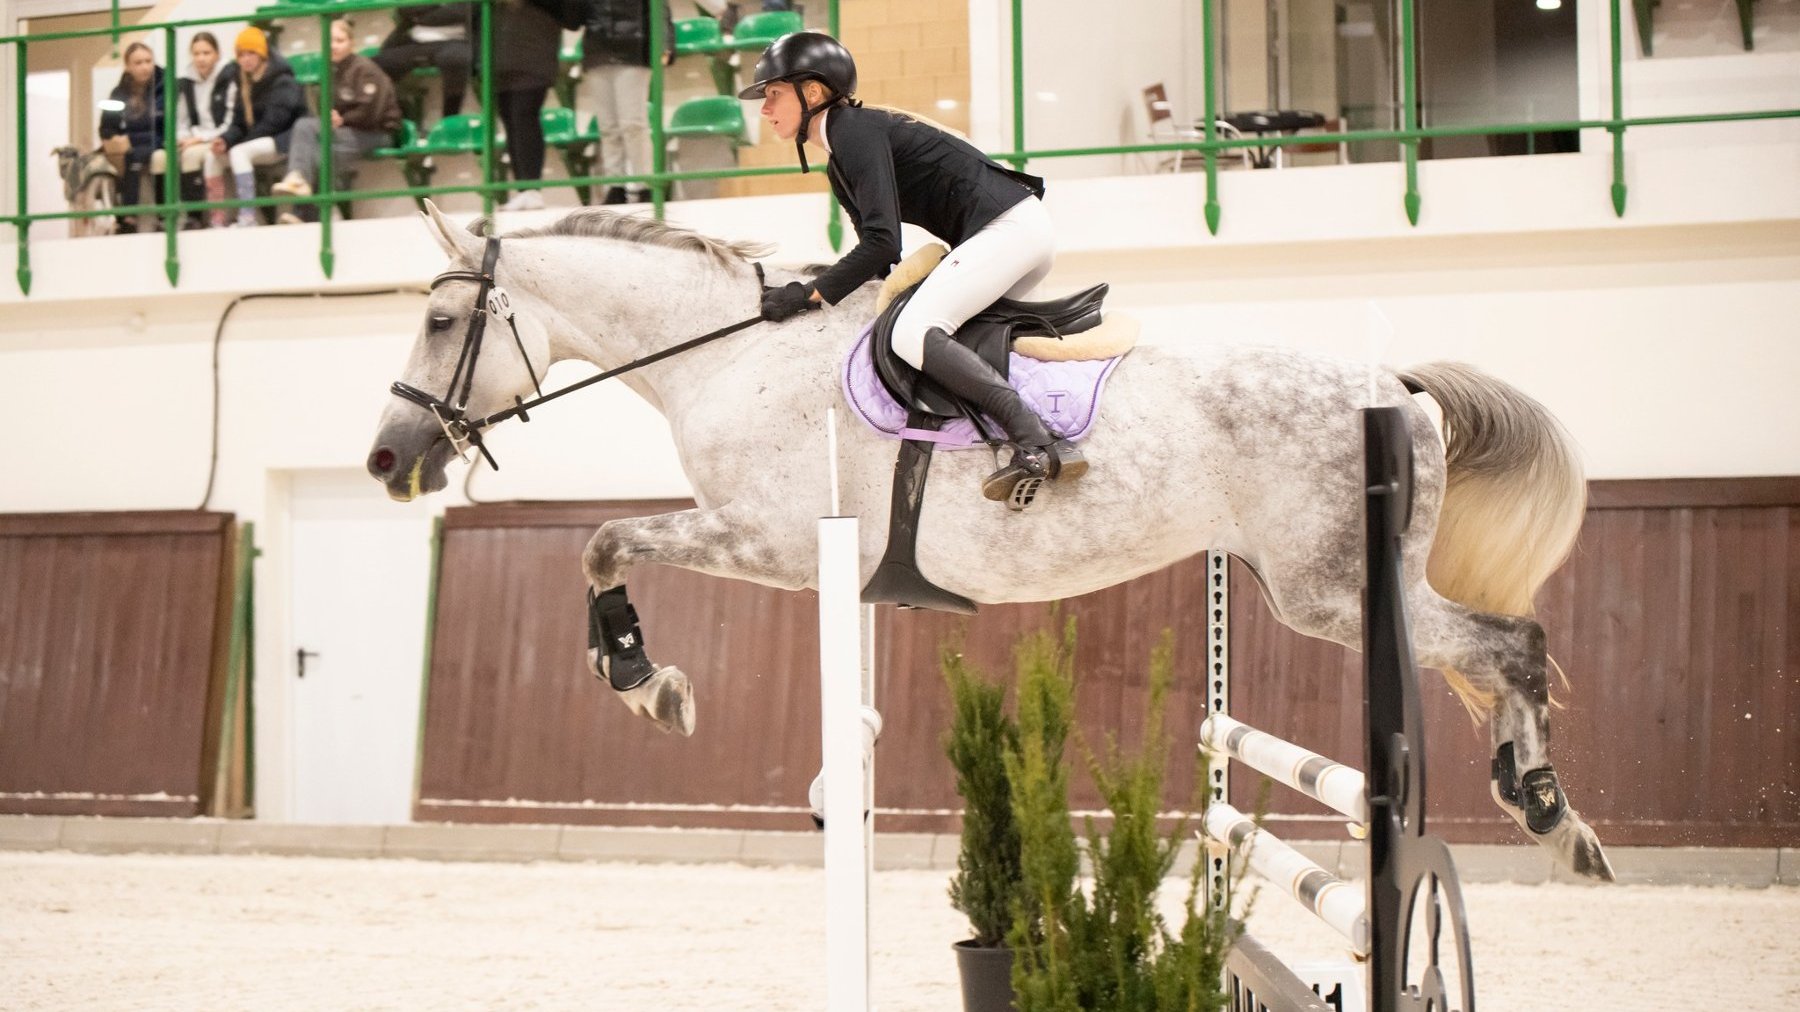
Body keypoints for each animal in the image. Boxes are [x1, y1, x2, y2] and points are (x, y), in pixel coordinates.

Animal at [365, 202, 1620, 875]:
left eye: (441, 319)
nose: (386, 460)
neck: (727, 352)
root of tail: (1395, 383)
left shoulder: (767, 540)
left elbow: (605, 542)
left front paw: (644, 680)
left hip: (1329, 591)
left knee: (1510, 641)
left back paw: (1552, 813)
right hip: (1307, 586)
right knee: (1497, 648)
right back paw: (1543, 806)